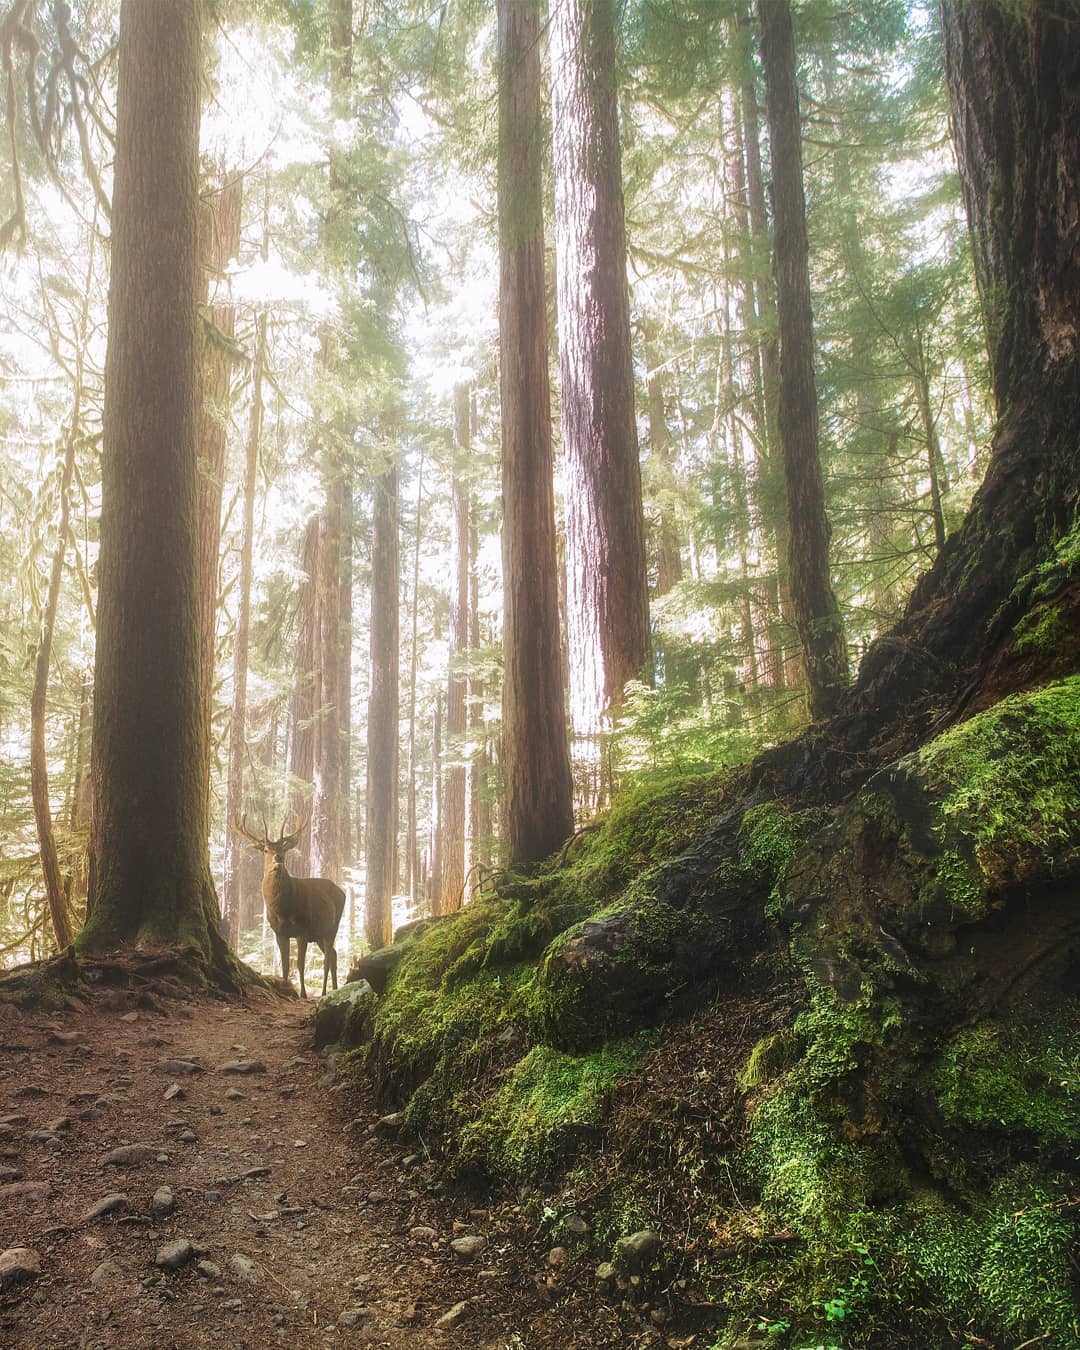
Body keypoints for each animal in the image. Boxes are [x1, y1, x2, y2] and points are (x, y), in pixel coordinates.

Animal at [232, 815, 345, 999]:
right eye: (265, 850)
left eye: (284, 849)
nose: (277, 857)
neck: (282, 910)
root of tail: (342, 892)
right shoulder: (279, 932)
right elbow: (285, 965)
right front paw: (285, 989)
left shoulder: (303, 929)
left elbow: (299, 964)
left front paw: (303, 994)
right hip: (319, 934)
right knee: (334, 955)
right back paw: (335, 989)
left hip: (332, 927)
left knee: (327, 959)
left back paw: (323, 992)